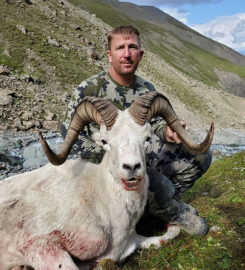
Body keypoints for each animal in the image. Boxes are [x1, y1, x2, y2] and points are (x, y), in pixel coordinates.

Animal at [0, 92, 213, 268]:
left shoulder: (133, 242)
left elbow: (172, 234)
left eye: (147, 138)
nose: (132, 167)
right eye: (105, 141)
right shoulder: (42, 246)